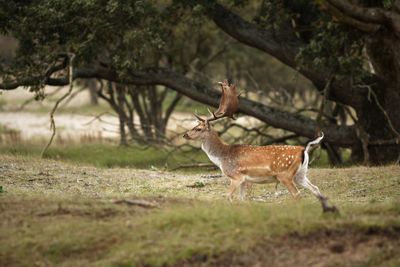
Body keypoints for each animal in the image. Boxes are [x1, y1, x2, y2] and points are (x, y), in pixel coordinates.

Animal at [184, 79, 338, 214]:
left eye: (198, 128)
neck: (222, 157)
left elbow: (228, 197)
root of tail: (303, 150)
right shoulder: (244, 180)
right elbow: (241, 199)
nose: (185, 134)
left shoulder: (235, 176)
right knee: (315, 188)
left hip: (285, 174)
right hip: (300, 174)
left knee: (297, 194)